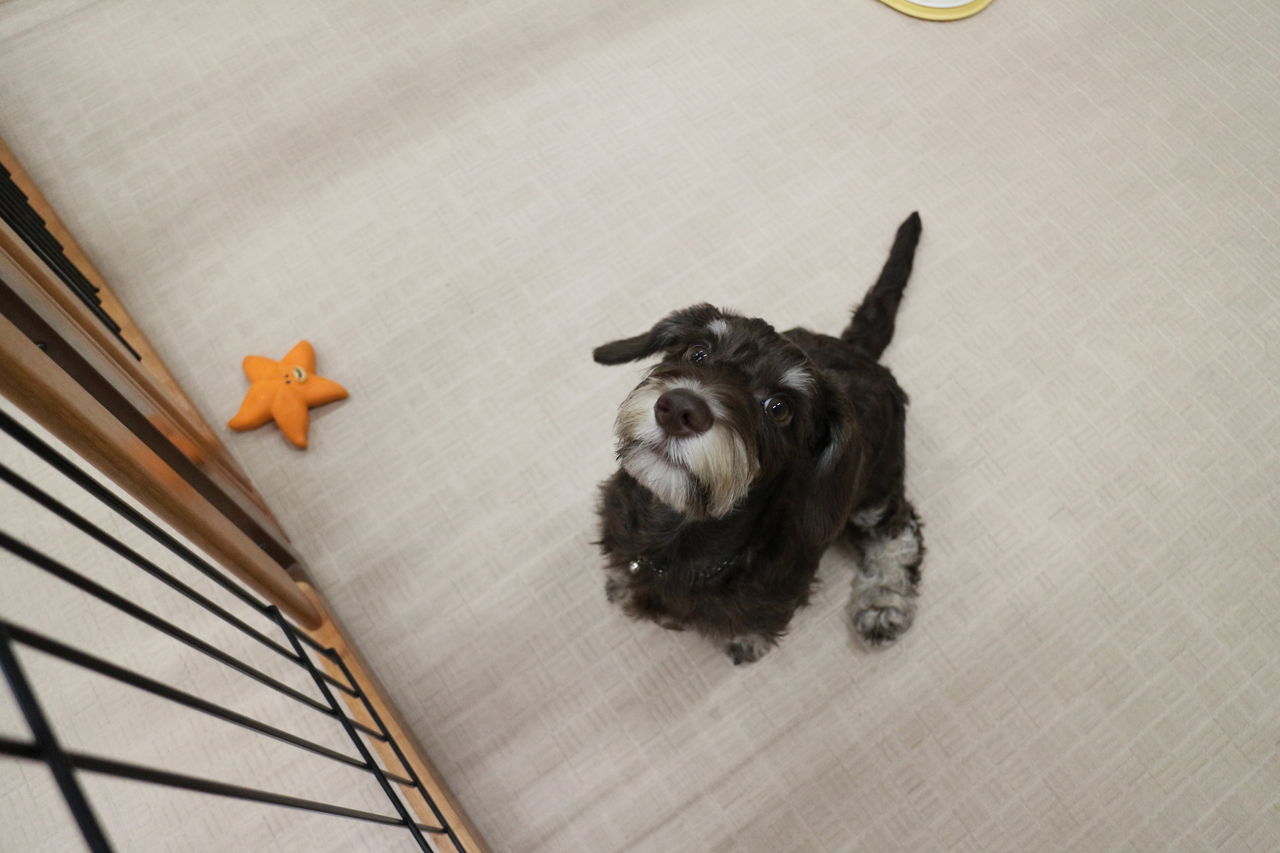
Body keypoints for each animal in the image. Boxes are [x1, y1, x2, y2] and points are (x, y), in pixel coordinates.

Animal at [593, 212, 925, 664]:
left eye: (780, 408)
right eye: (697, 352)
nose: (678, 410)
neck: (678, 532)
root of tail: (858, 351)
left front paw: (745, 641)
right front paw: (620, 584)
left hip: (875, 486)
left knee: (899, 529)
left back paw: (882, 605)